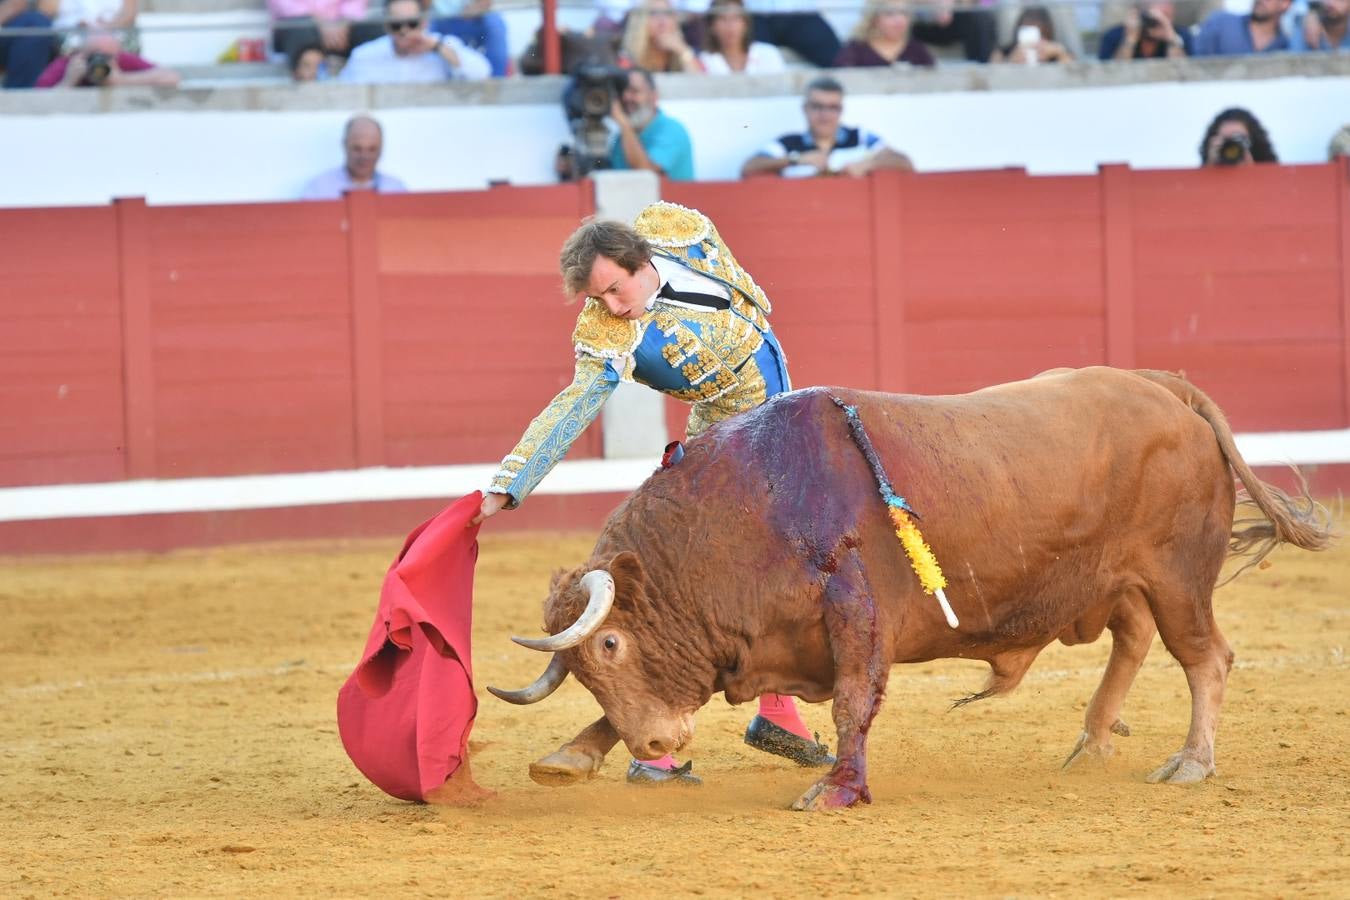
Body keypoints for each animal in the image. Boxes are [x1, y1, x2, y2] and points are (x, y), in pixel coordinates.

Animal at [491, 367, 1333, 809]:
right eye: (584, 666)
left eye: (611, 641)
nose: (658, 746)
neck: (744, 511)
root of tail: (1166, 389)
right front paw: (572, 754)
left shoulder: (856, 611)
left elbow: (854, 700)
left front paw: (836, 792)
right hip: (1118, 580)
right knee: (1133, 641)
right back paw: (1090, 743)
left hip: (1176, 574)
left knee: (1205, 656)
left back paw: (1190, 761)